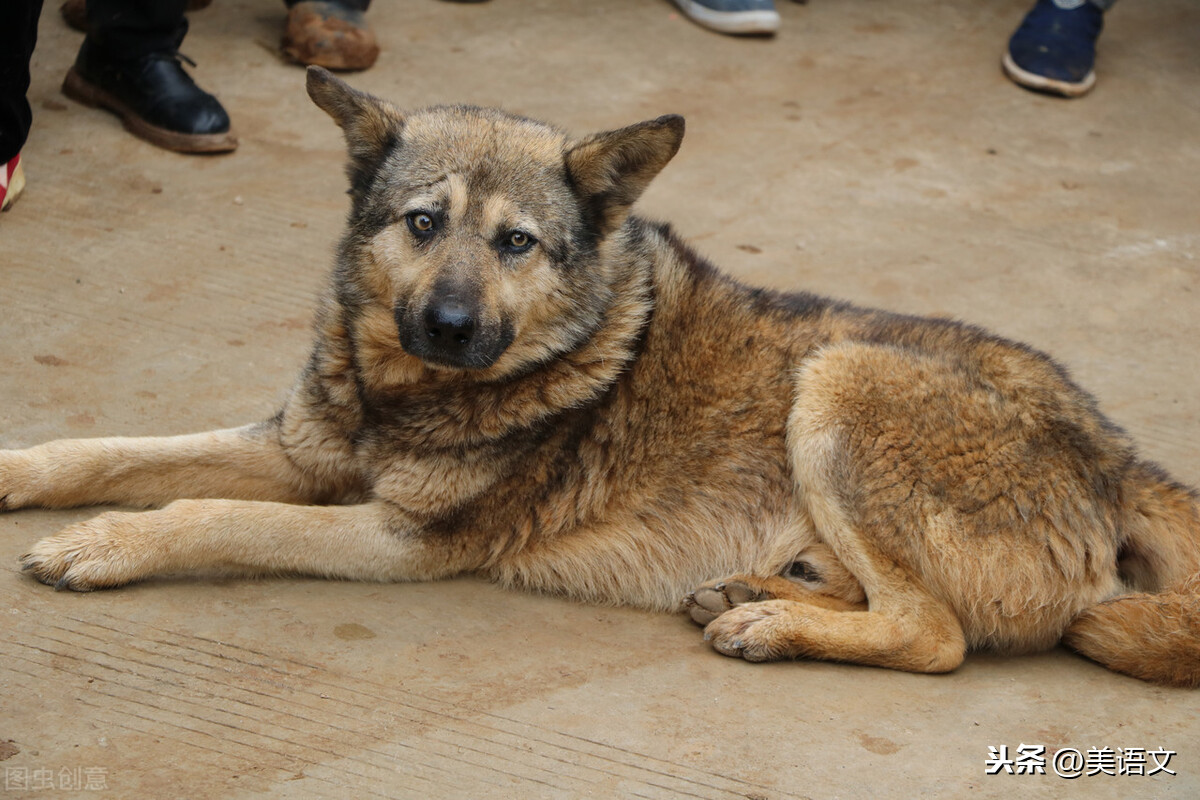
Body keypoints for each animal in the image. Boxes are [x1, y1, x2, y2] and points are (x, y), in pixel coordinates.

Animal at [9, 67, 1200, 690]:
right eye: (423, 224)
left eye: (518, 243)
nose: (449, 326)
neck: (402, 395)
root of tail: (1119, 455)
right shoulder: (299, 453)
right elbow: (111, 450)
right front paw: (26, 472)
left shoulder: (398, 541)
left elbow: (202, 509)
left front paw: (103, 547)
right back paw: (760, 591)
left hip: (841, 377)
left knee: (935, 632)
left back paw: (773, 625)